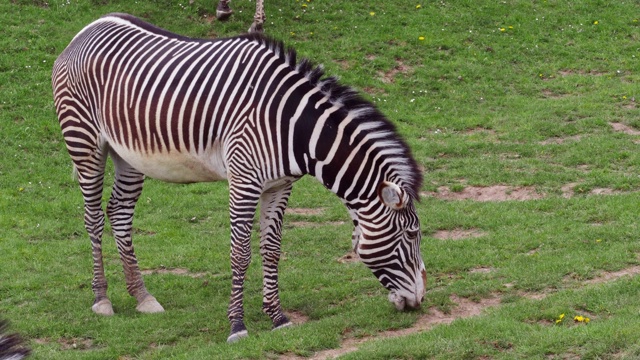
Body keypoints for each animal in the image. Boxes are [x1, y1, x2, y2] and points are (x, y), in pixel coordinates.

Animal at [52, 12, 428, 342]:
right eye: (411, 234)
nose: (420, 301)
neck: (293, 127)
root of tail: (85, 30)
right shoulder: (244, 181)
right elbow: (240, 253)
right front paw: (237, 325)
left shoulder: (280, 185)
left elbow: (272, 249)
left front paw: (277, 317)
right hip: (85, 142)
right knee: (93, 217)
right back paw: (102, 299)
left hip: (127, 154)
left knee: (119, 213)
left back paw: (143, 296)